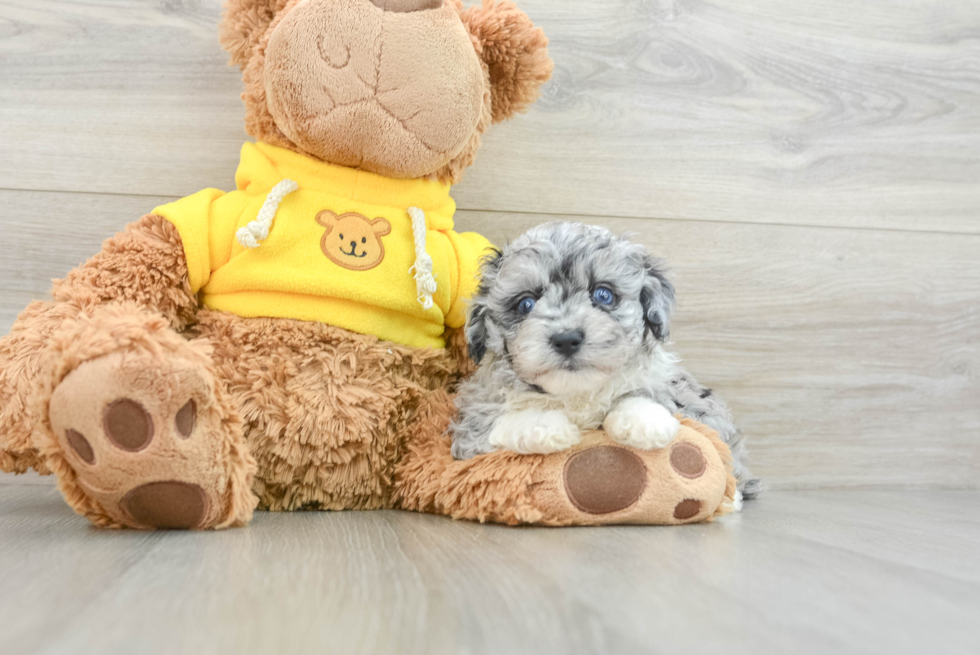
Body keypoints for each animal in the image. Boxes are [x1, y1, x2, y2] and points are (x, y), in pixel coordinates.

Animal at [448, 223, 760, 500]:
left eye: (603, 294)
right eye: (526, 304)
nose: (566, 339)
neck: (576, 393)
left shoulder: (669, 385)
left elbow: (644, 393)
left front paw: (645, 422)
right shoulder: (471, 430)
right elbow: (498, 421)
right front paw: (546, 427)